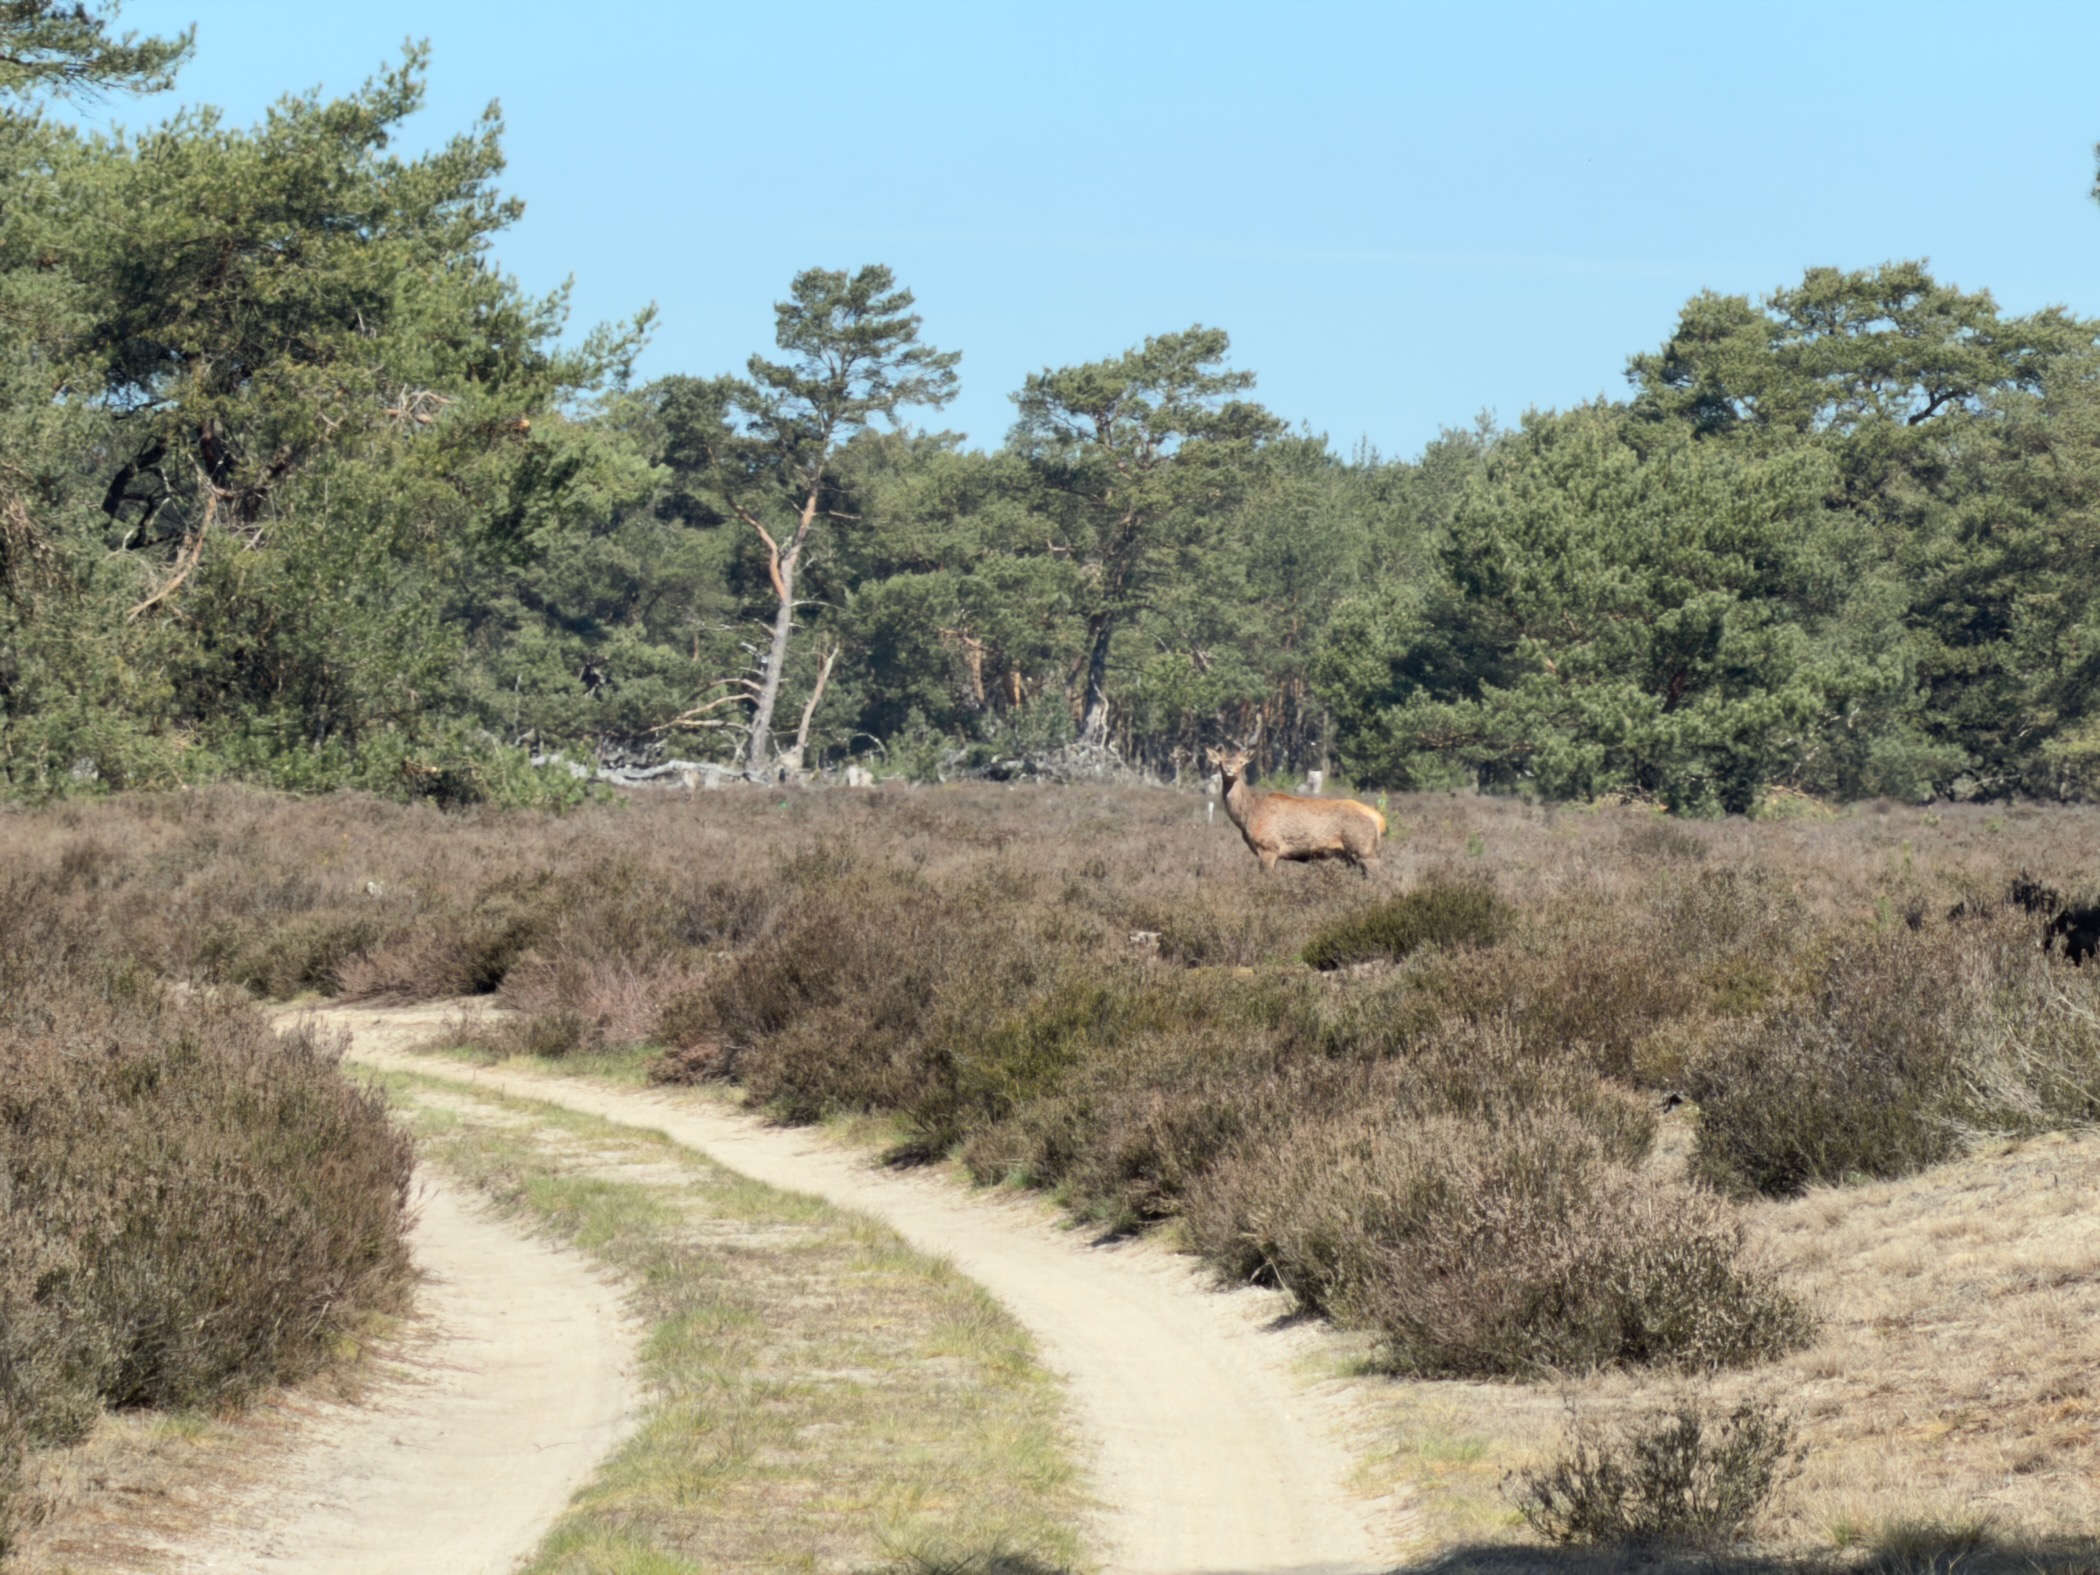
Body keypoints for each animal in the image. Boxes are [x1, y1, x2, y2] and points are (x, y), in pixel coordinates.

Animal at [1205, 746, 1385, 877]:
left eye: (1241, 762)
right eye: (1220, 762)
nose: (1229, 769)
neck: (1246, 815)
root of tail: (1379, 819)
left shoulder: (1269, 846)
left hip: (1363, 848)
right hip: (1352, 854)